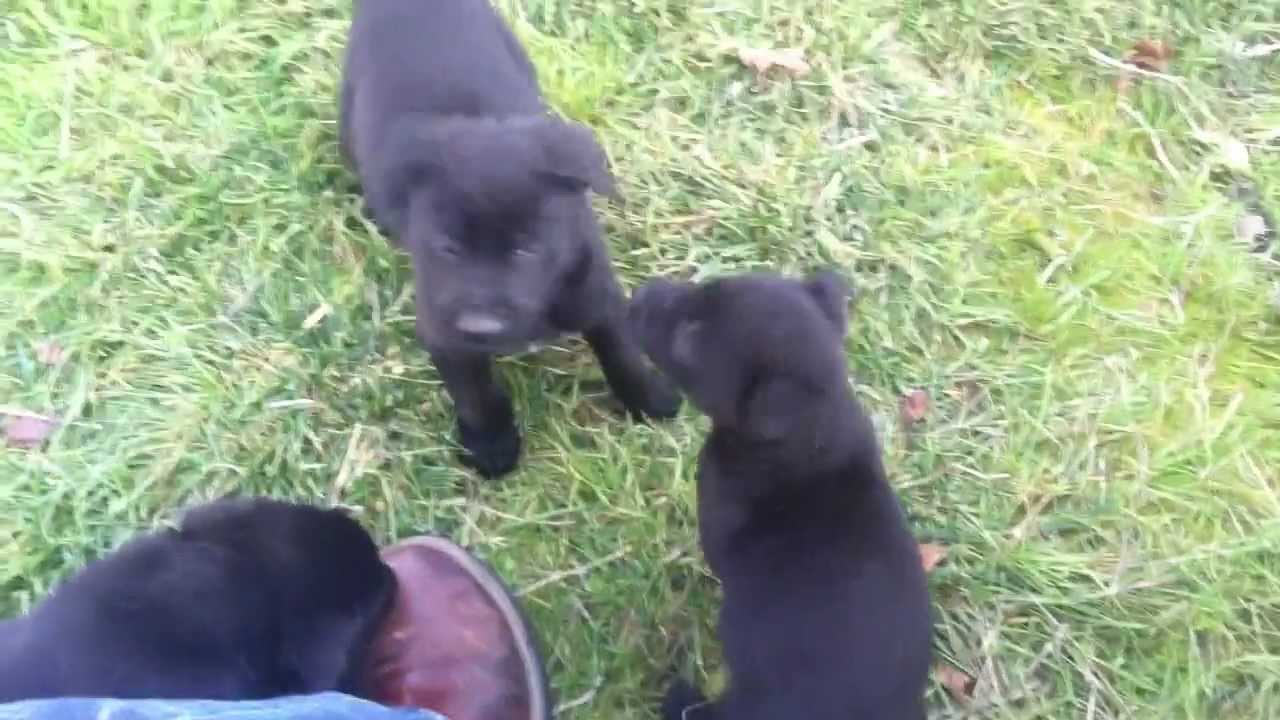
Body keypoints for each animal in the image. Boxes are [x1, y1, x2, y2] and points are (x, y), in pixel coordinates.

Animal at [337, 0, 680, 476]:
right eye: (448, 248)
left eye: (527, 248)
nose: (480, 327)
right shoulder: (442, 326)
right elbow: (474, 390)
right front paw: (491, 443)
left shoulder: (595, 288)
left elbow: (620, 349)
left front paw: (649, 398)